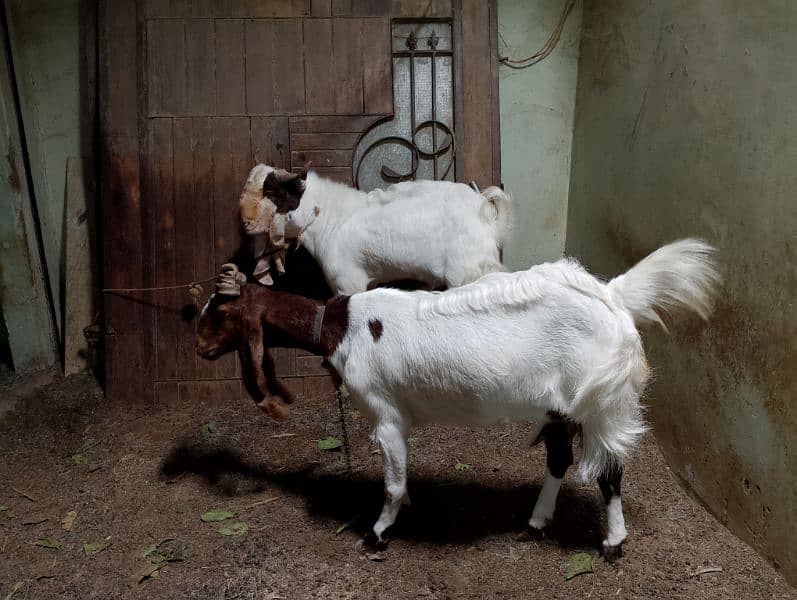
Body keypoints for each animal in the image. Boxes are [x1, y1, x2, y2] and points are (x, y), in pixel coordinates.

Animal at [196, 239, 720, 556]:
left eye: (221, 311)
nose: (200, 348)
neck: (339, 327)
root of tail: (613, 296)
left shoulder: (386, 414)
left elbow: (391, 482)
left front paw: (379, 533)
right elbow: (400, 475)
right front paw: (403, 509)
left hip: (601, 401)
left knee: (609, 472)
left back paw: (612, 541)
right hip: (560, 407)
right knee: (559, 459)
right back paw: (536, 521)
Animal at [238, 164, 510, 296]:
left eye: (269, 192)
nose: (246, 223)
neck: (330, 219)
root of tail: (484, 207)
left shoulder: (348, 283)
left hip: (465, 273)